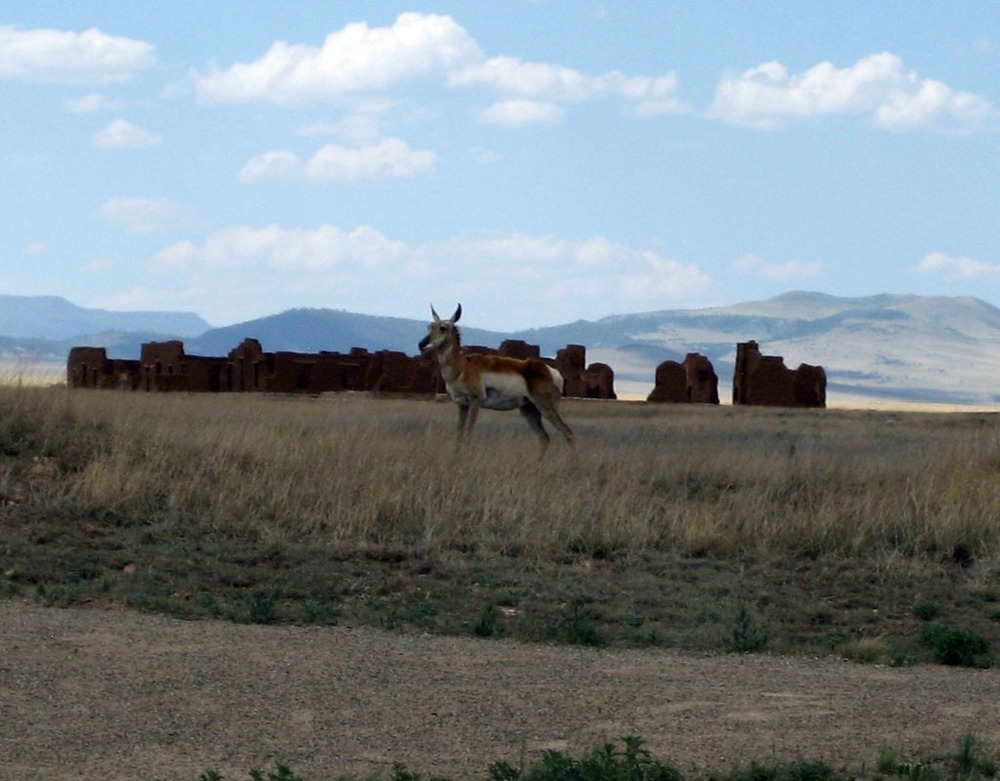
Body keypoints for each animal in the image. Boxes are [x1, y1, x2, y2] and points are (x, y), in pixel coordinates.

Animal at [419, 304, 574, 455]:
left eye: (442, 328)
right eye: (429, 326)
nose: (421, 344)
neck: (463, 367)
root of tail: (552, 372)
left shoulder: (475, 401)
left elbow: (468, 433)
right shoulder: (462, 405)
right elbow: (459, 434)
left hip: (545, 407)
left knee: (567, 432)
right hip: (529, 410)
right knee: (544, 438)